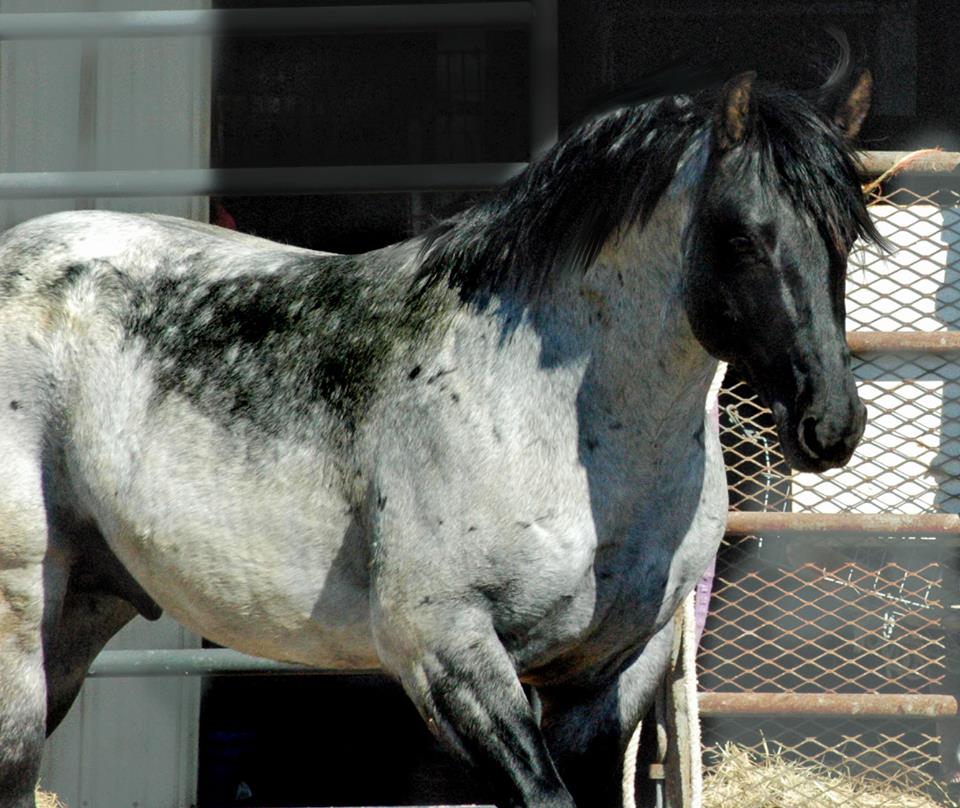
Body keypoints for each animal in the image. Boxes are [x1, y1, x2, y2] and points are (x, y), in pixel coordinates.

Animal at [0, 71, 876, 808]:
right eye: (742, 236)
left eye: (847, 235)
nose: (830, 423)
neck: (541, 416)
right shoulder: (447, 651)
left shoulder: (612, 672)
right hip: (22, 614)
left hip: (82, 612)